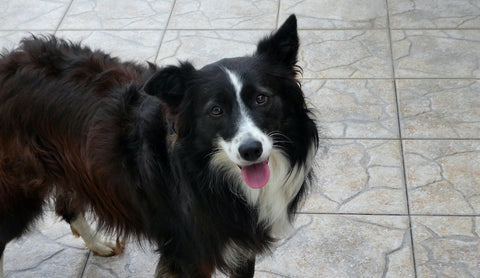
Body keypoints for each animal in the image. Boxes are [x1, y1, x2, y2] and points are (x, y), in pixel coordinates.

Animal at [0, 15, 318, 278]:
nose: (251, 151)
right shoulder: (189, 254)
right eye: (215, 111)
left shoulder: (242, 245)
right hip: (18, 189)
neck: (209, 173)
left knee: (67, 205)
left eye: (261, 98)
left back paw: (99, 244)